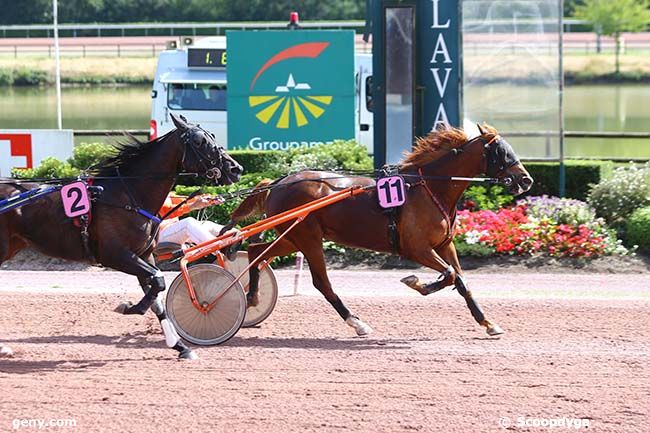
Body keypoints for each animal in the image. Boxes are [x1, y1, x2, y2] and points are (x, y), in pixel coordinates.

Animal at [0, 114, 242, 358]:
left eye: (212, 136)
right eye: (200, 141)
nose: (236, 168)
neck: (128, 195)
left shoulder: (144, 255)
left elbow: (157, 292)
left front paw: (180, 346)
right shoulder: (115, 255)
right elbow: (158, 281)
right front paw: (132, 307)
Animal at [228, 125, 532, 338]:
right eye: (502, 152)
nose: (526, 179)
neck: (429, 188)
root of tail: (279, 181)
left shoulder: (445, 245)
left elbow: (460, 279)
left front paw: (488, 323)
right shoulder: (417, 248)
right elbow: (449, 274)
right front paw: (417, 283)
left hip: (293, 237)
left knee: (256, 252)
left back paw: (251, 296)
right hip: (307, 238)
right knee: (321, 282)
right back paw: (357, 323)